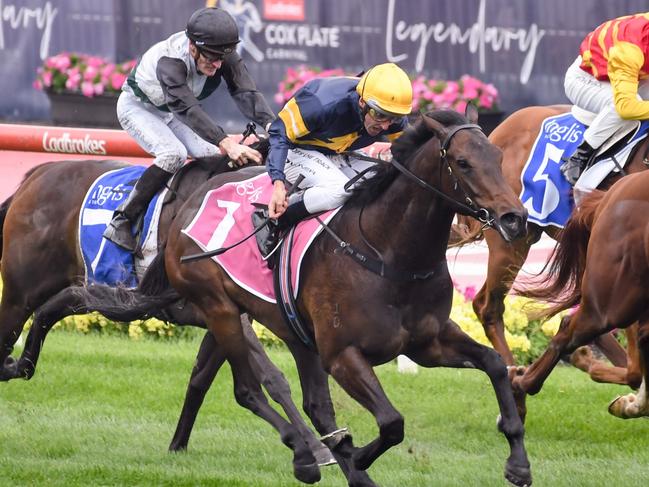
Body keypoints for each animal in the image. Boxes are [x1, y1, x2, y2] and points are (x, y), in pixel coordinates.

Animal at [0, 148, 334, 466]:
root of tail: (36, 175)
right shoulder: (219, 307)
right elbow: (273, 377)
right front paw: (316, 447)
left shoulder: (223, 313)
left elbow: (200, 377)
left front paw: (178, 445)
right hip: (21, 292)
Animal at [73, 110, 536, 487]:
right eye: (463, 162)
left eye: (498, 157)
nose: (514, 218)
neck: (390, 252)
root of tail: (185, 207)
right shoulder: (343, 353)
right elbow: (392, 423)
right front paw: (356, 455)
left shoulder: (428, 342)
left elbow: (495, 364)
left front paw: (518, 464)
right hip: (221, 309)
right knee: (248, 390)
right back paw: (305, 456)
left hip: (293, 331)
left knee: (313, 404)